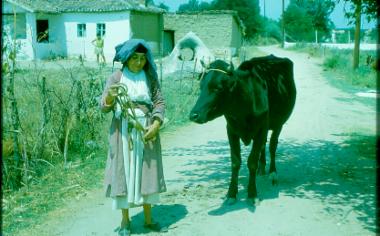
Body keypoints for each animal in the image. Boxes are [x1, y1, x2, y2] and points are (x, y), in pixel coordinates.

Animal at [190, 54, 296, 204]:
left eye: (218, 88)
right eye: (201, 86)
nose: (193, 115)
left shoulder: (261, 129)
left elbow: (251, 162)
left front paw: (252, 194)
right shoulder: (231, 130)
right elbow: (235, 162)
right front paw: (231, 194)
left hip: (278, 124)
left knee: (272, 145)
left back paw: (272, 173)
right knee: (264, 145)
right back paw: (262, 168)